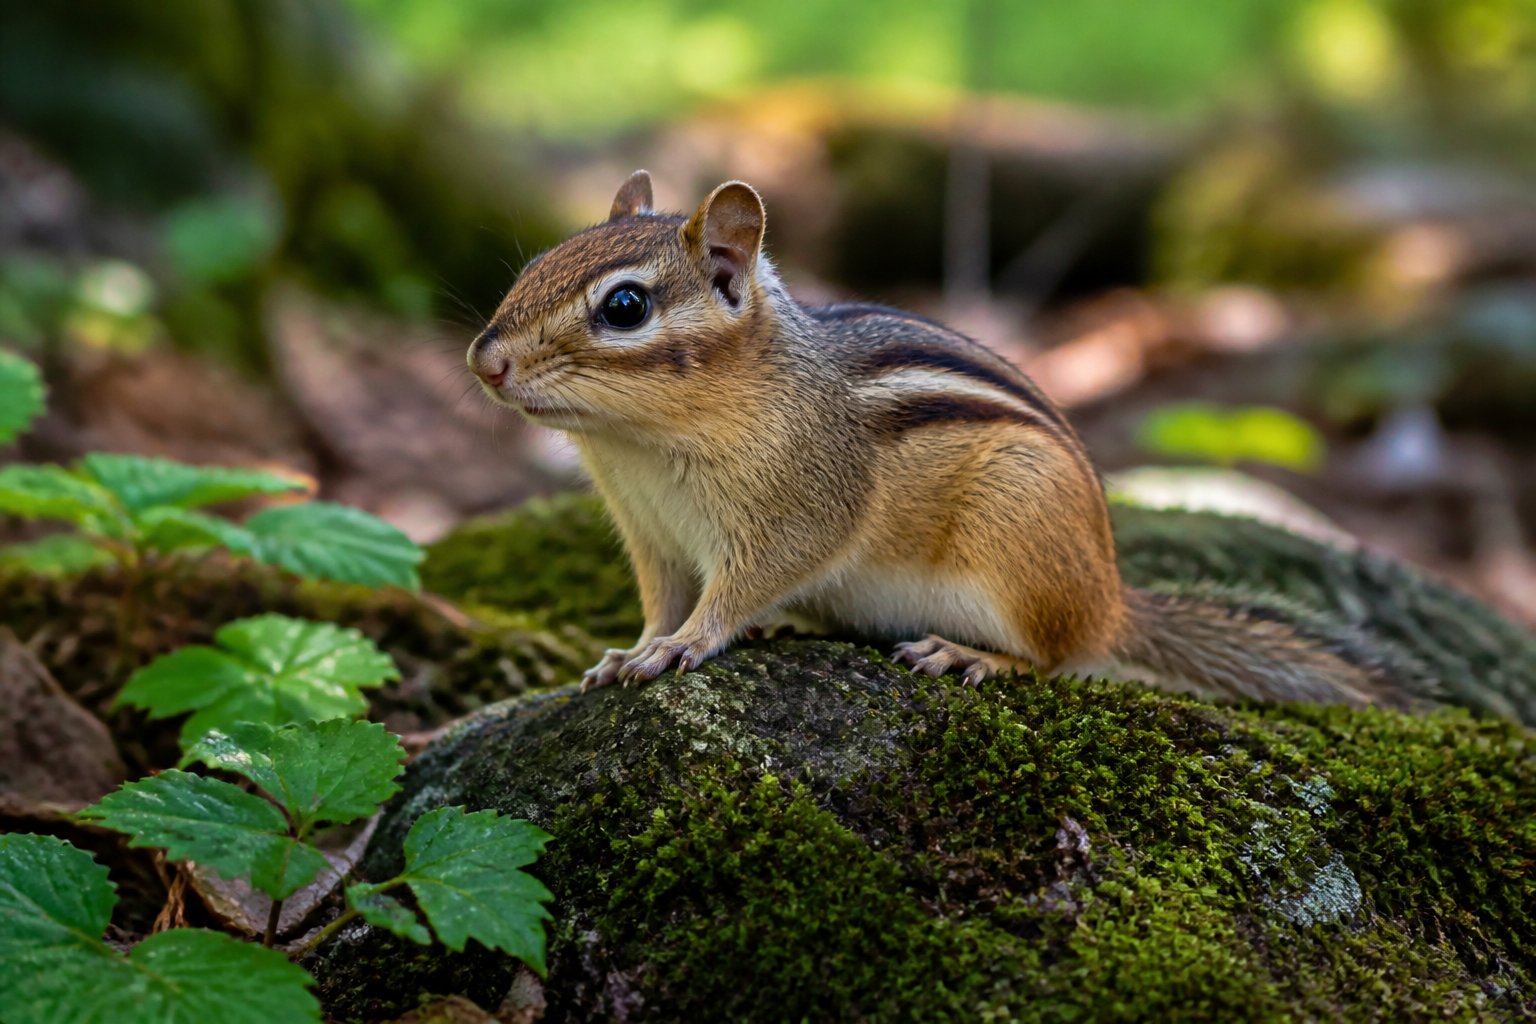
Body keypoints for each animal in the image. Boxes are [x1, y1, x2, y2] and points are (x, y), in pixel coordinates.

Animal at [467, 170, 1408, 709]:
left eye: (624, 306)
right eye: (538, 263)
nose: (485, 361)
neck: (640, 446)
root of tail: (1111, 597)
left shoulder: (797, 509)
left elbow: (737, 591)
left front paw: (689, 643)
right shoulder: (652, 536)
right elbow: (663, 599)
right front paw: (631, 652)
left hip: (1017, 537)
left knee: (1059, 656)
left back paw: (970, 657)